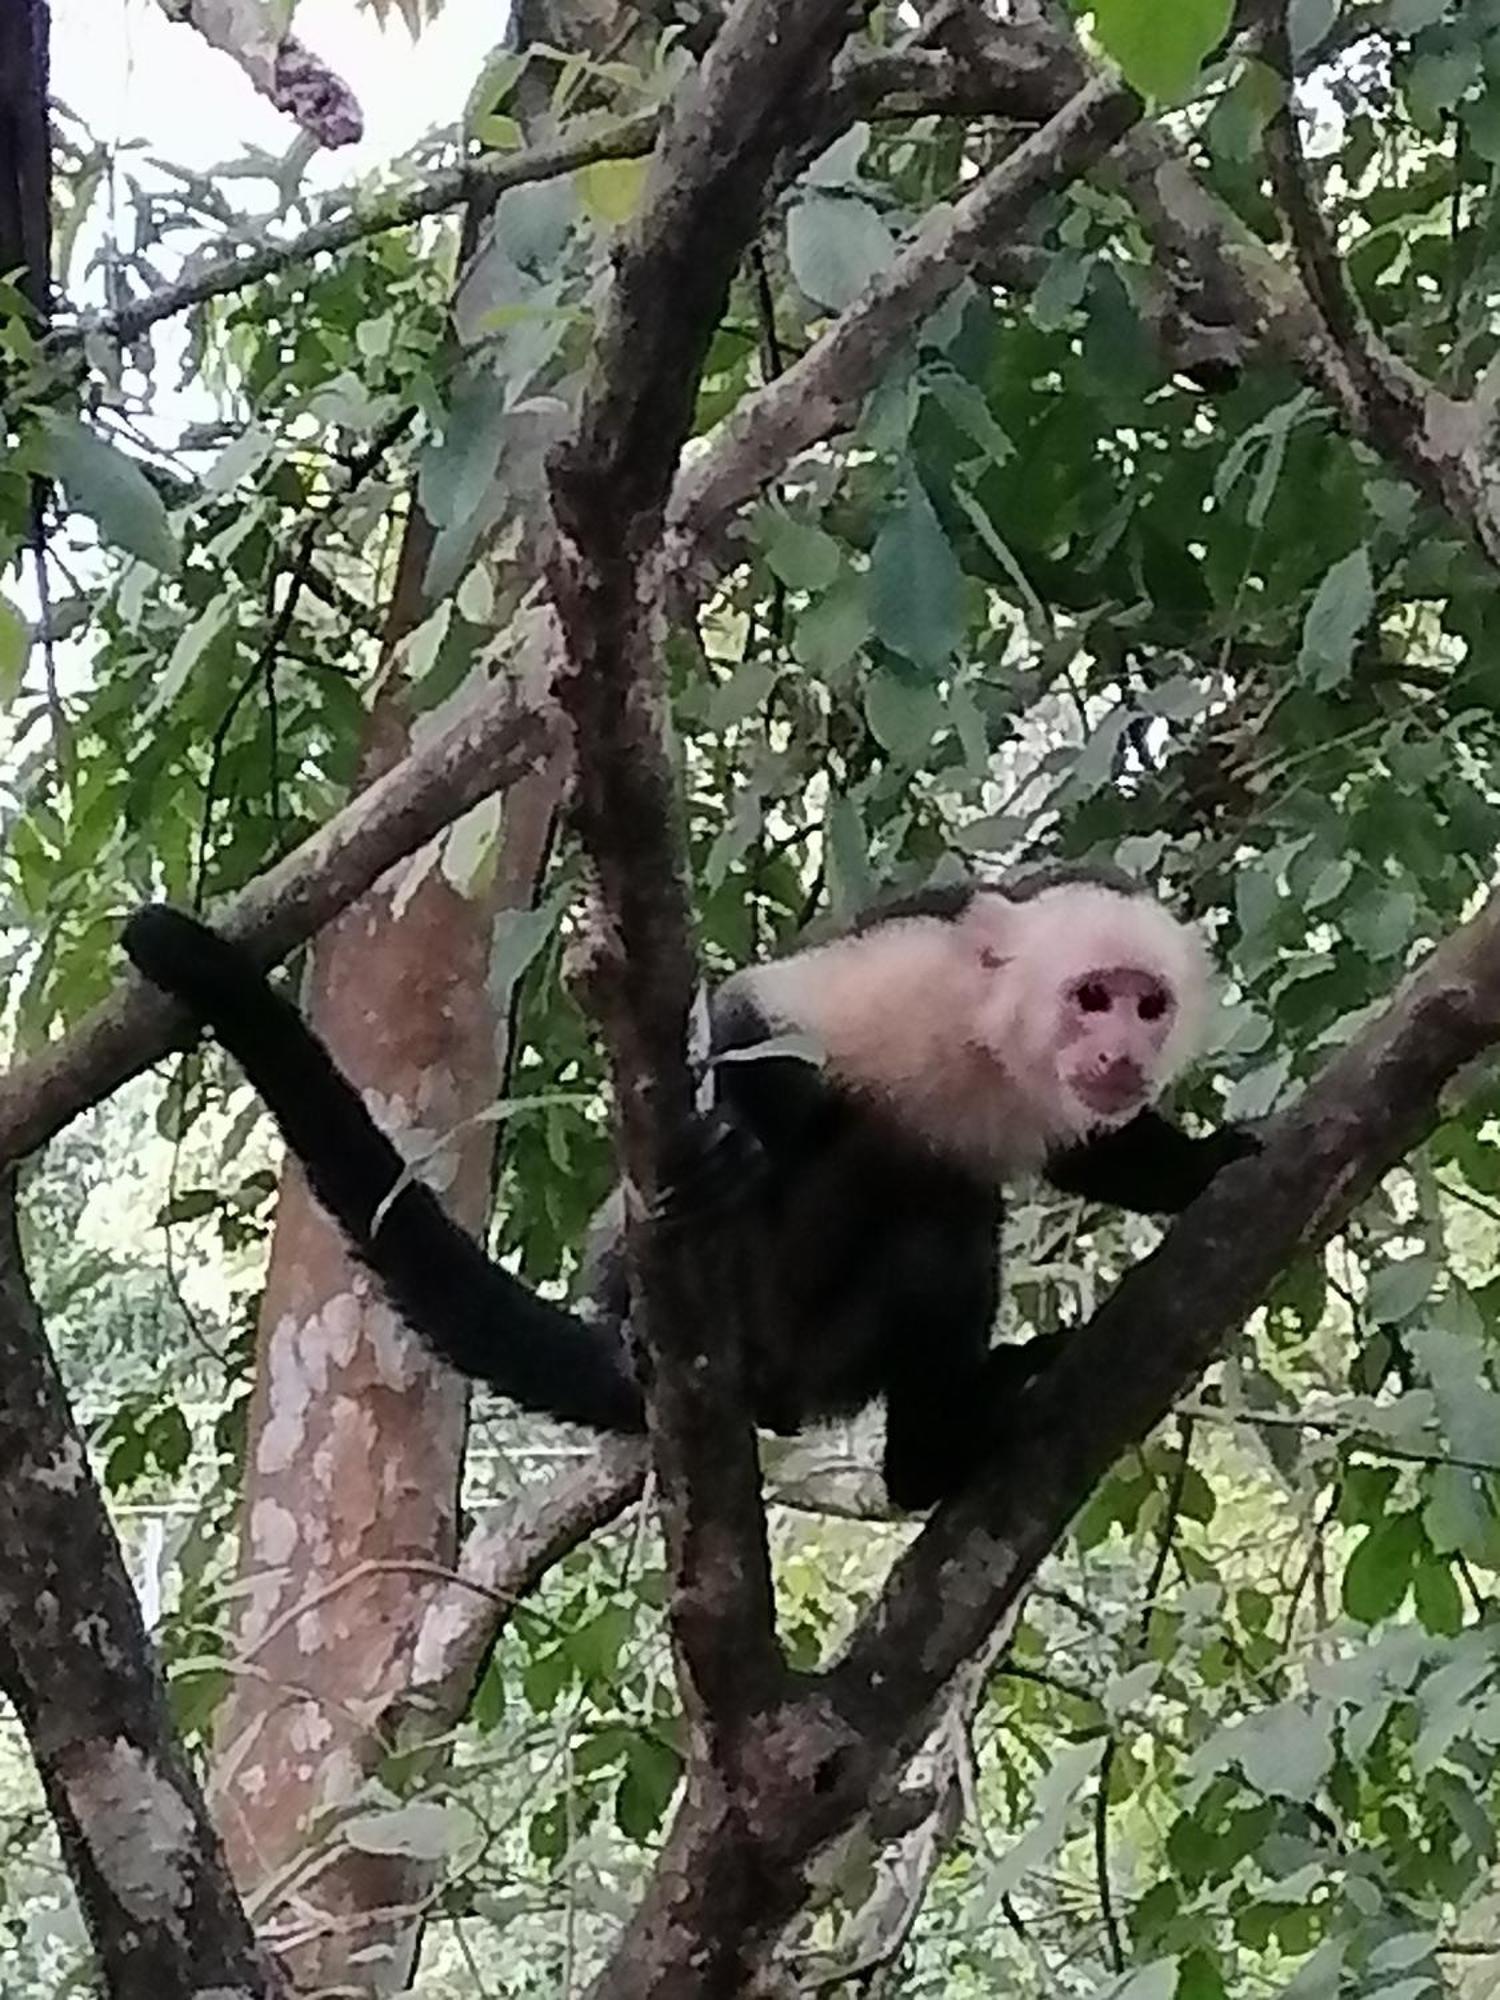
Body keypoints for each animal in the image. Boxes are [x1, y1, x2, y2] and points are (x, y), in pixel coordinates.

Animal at [123, 868, 1264, 1504]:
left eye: (1150, 1004)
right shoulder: (922, 973)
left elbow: (1094, 1152)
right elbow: (757, 1021)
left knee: (943, 1228)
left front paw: (1209, 1166)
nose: (1122, 1048)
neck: (996, 1050)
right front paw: (731, 1141)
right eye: (1093, 996)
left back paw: (933, 1456)